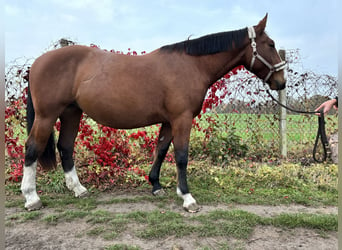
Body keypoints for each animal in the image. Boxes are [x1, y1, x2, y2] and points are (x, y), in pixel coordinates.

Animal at [22, 14, 286, 212]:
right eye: (271, 45)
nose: (281, 82)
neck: (192, 65)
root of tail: (36, 64)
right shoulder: (181, 119)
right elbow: (181, 156)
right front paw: (188, 198)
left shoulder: (170, 121)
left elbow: (161, 150)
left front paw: (157, 185)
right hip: (47, 116)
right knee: (33, 148)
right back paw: (31, 197)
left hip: (71, 113)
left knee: (65, 147)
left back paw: (78, 189)